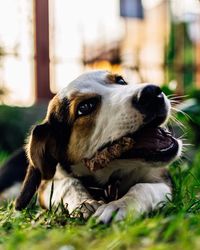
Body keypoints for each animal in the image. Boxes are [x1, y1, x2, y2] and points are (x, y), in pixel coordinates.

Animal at [0, 71, 181, 225]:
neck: (109, 180)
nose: (152, 92)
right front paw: (84, 203)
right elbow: (68, 183)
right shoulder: (46, 187)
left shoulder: (161, 178)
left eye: (121, 81)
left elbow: (142, 187)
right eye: (85, 107)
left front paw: (119, 206)